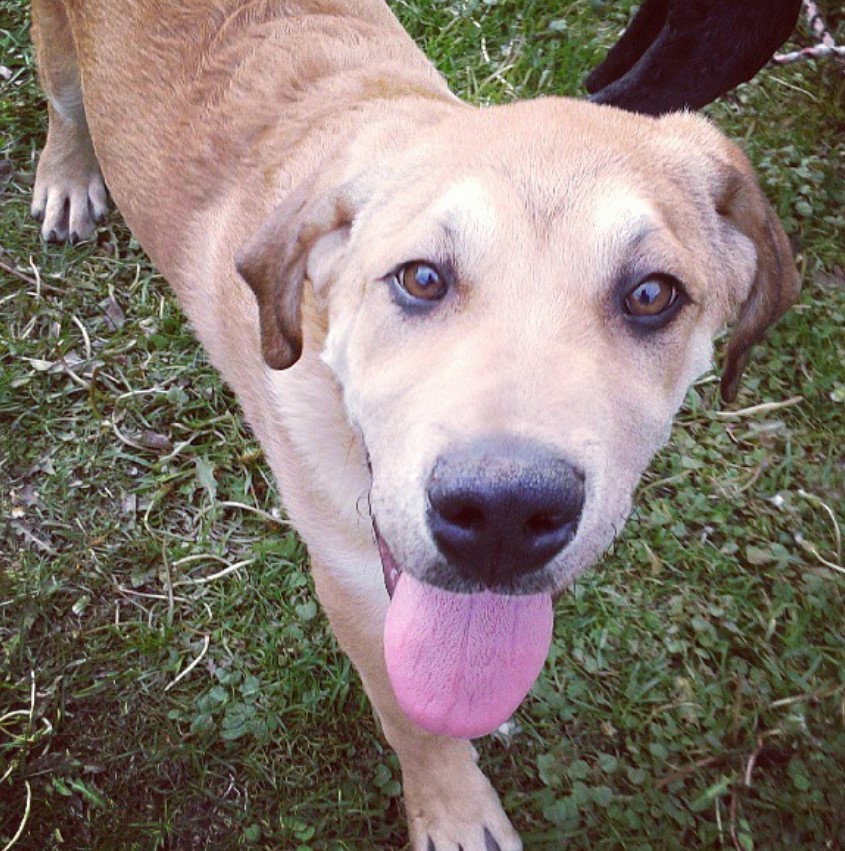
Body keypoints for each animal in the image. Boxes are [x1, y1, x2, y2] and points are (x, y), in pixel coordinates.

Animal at [31, 3, 796, 848]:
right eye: (421, 278)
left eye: (652, 294)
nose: (503, 514)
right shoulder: (353, 577)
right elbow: (411, 716)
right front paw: (454, 809)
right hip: (58, 55)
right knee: (64, 104)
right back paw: (66, 175)